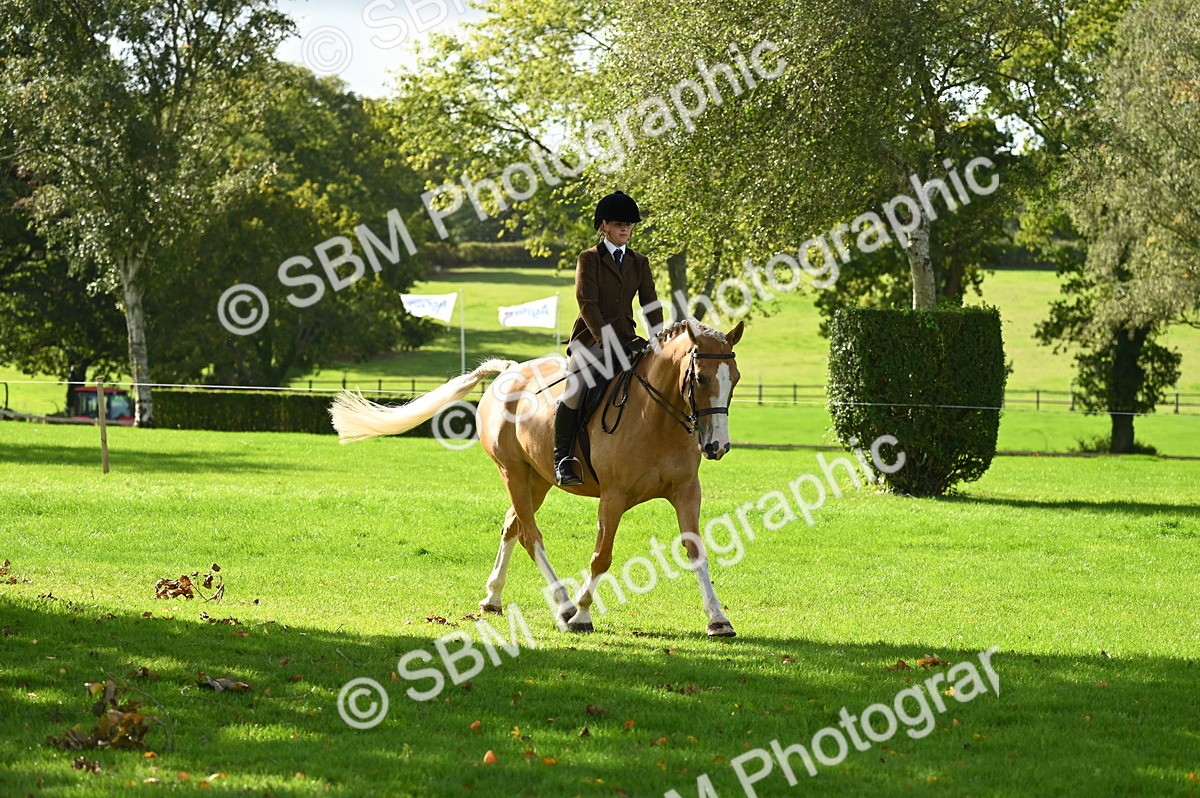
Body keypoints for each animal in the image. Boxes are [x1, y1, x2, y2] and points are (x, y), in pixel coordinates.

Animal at [329, 318, 745, 637]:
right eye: (701, 377)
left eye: (735, 378)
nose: (718, 446)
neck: (655, 417)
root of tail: (510, 370)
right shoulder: (613, 498)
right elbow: (601, 557)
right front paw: (582, 614)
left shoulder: (686, 492)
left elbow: (696, 550)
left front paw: (718, 619)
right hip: (512, 472)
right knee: (530, 534)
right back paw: (562, 605)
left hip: (538, 479)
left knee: (512, 524)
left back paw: (493, 597)